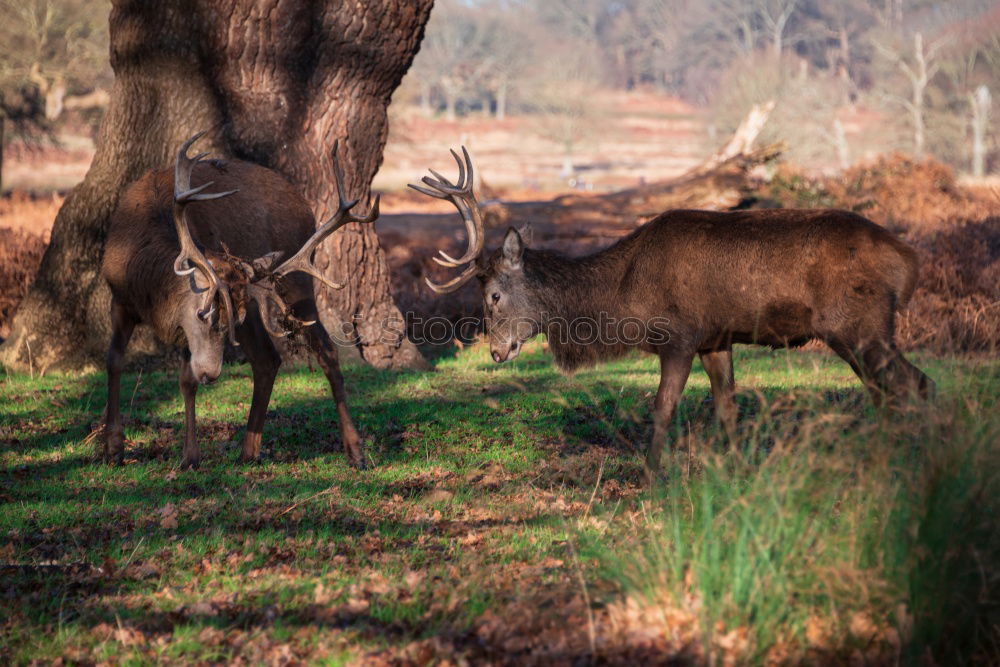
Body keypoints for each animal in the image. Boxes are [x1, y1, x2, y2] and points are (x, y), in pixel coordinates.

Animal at [100, 133, 376, 470]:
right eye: (203, 313)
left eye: (226, 318)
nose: (211, 374)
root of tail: (305, 206)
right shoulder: (120, 298)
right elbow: (114, 360)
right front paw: (112, 447)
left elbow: (186, 381)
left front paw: (190, 456)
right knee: (267, 358)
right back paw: (249, 450)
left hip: (298, 285)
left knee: (326, 351)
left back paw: (356, 451)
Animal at [410, 150, 932, 486]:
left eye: (494, 295)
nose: (496, 351)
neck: (624, 296)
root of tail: (908, 260)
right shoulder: (715, 339)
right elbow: (727, 406)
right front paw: (736, 468)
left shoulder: (678, 336)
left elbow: (662, 407)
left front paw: (650, 474)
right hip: (859, 333)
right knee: (888, 388)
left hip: (859, 324)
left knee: (913, 383)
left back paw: (909, 456)